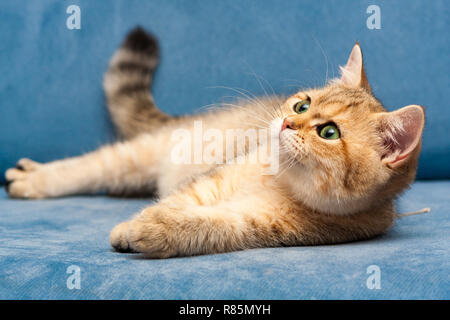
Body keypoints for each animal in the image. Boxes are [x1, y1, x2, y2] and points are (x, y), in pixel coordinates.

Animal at [4, 27, 426, 258]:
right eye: (302, 104)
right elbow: (175, 202)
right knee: (89, 167)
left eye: (329, 133)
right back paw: (31, 178)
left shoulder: (259, 225)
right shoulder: (211, 181)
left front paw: (153, 231)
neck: (279, 182)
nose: (287, 121)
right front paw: (132, 226)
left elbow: (204, 225)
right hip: (143, 153)